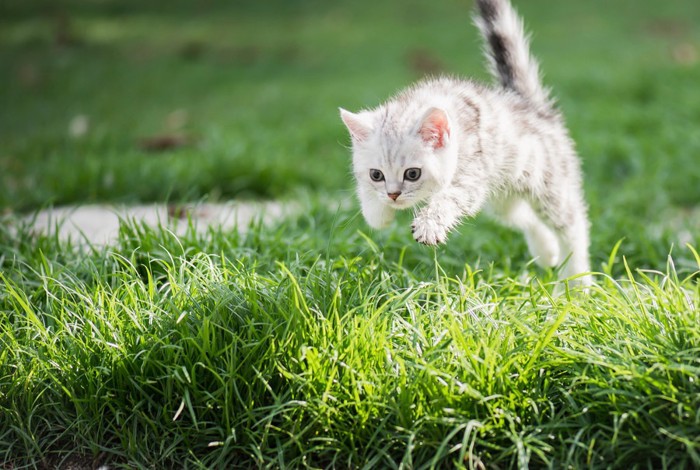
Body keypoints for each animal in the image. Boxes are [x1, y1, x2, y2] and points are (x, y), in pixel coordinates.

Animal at [340, 0, 592, 284]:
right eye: (376, 175)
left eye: (412, 174)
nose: (393, 195)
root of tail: (528, 104)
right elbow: (369, 202)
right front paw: (378, 213)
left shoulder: (472, 173)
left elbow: (450, 197)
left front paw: (429, 224)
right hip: (503, 197)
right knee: (527, 218)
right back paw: (547, 253)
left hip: (548, 184)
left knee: (573, 226)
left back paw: (578, 282)